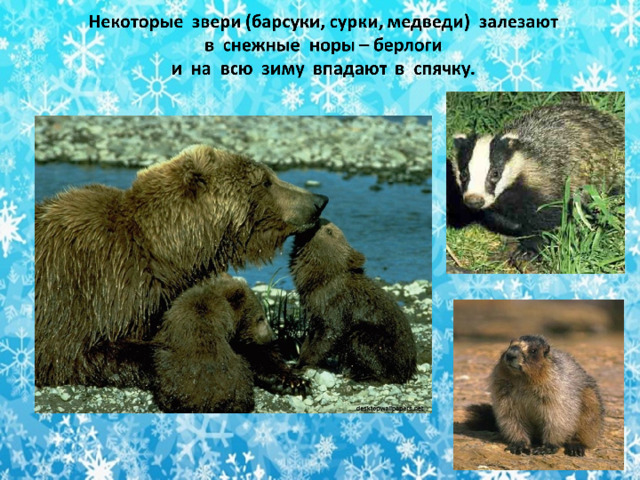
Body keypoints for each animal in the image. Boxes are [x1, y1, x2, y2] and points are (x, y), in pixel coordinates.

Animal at [35, 145, 328, 388]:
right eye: (266, 181)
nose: (320, 200)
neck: (167, 254)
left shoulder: (162, 298)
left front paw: (286, 376)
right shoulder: (88, 287)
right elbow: (77, 352)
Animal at [289, 219, 417, 384]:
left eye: (330, 231)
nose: (319, 220)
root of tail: (411, 368)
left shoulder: (337, 305)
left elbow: (330, 334)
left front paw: (304, 364)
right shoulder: (314, 308)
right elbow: (311, 334)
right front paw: (298, 361)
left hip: (384, 344)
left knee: (361, 341)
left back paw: (361, 375)